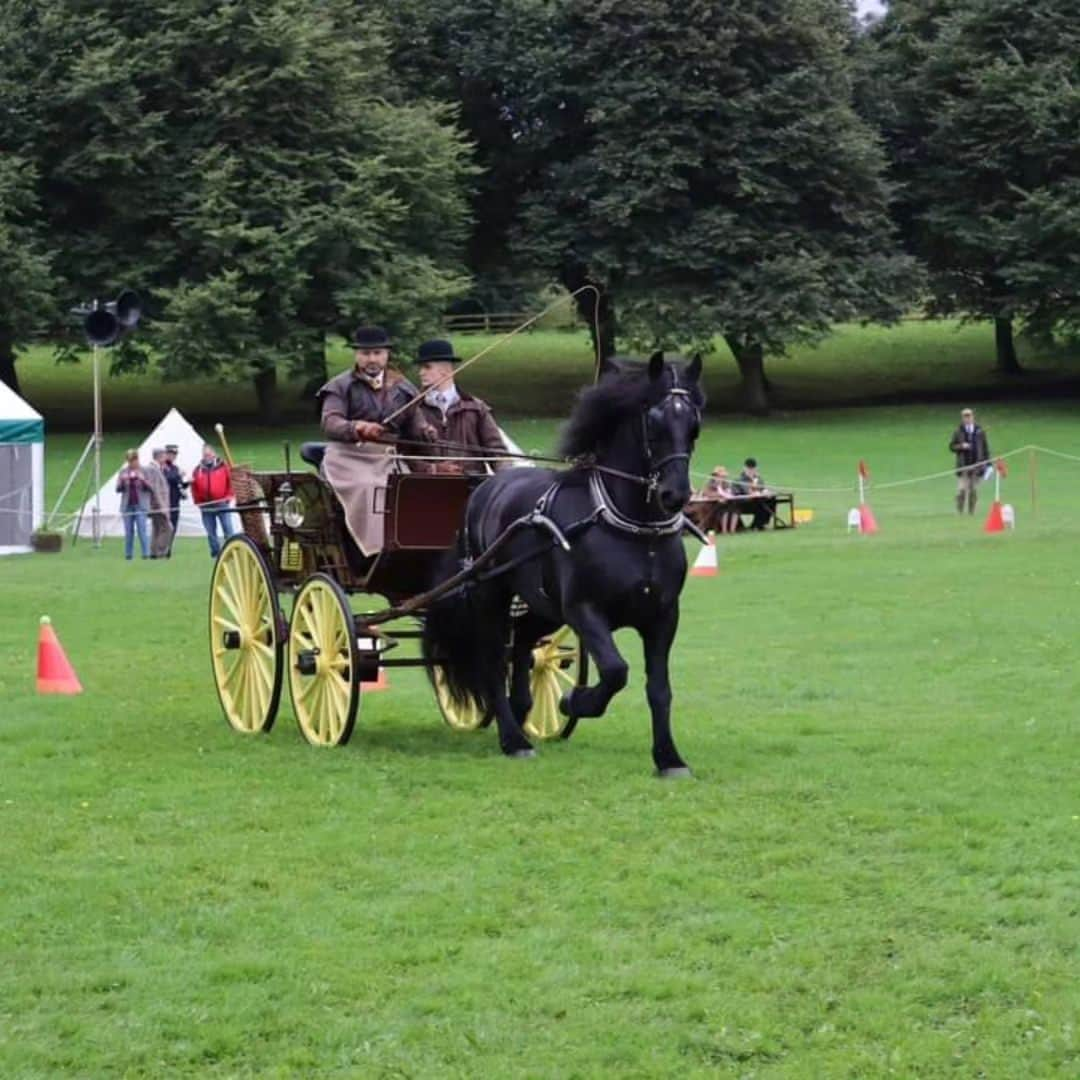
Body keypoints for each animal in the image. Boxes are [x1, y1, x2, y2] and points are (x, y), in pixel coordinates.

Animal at [421, 349, 708, 773]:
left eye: (694, 425)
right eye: (653, 422)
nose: (675, 494)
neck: (635, 530)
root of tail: (485, 486)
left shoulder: (663, 616)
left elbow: (659, 689)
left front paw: (669, 758)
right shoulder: (584, 610)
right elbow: (616, 671)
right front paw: (575, 701)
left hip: (545, 606)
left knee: (523, 642)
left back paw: (522, 710)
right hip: (492, 594)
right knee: (493, 660)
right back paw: (513, 739)